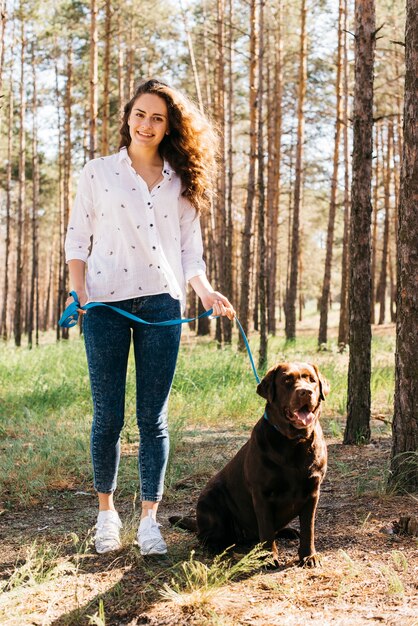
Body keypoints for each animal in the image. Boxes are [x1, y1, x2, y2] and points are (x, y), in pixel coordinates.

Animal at [171, 360, 330, 564]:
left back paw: (287, 531)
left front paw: (308, 556)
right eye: (287, 381)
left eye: (311, 380)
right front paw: (269, 557)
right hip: (211, 498)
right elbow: (266, 529)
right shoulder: (261, 493)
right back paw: (221, 549)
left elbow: (308, 529)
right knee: (206, 537)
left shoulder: (312, 492)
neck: (294, 442)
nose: (306, 392)